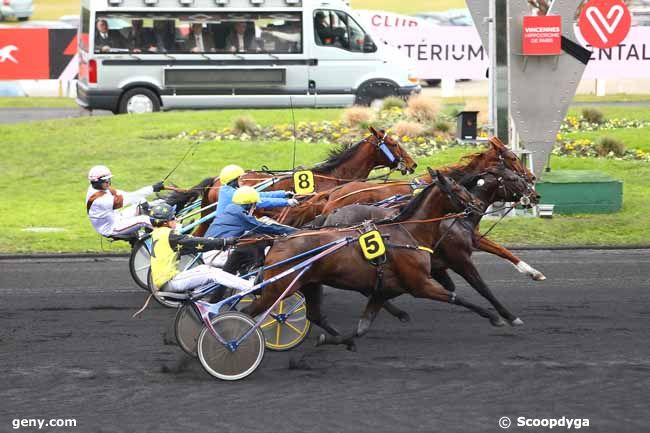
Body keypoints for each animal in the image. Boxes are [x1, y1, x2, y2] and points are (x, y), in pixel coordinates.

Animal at [240, 170, 524, 352]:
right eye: (456, 189)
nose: (475, 205)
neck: (408, 231)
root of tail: (279, 241)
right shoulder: (427, 281)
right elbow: (465, 294)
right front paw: (499, 317)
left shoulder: (386, 289)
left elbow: (363, 326)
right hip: (279, 287)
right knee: (248, 312)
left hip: (310, 283)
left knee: (315, 314)